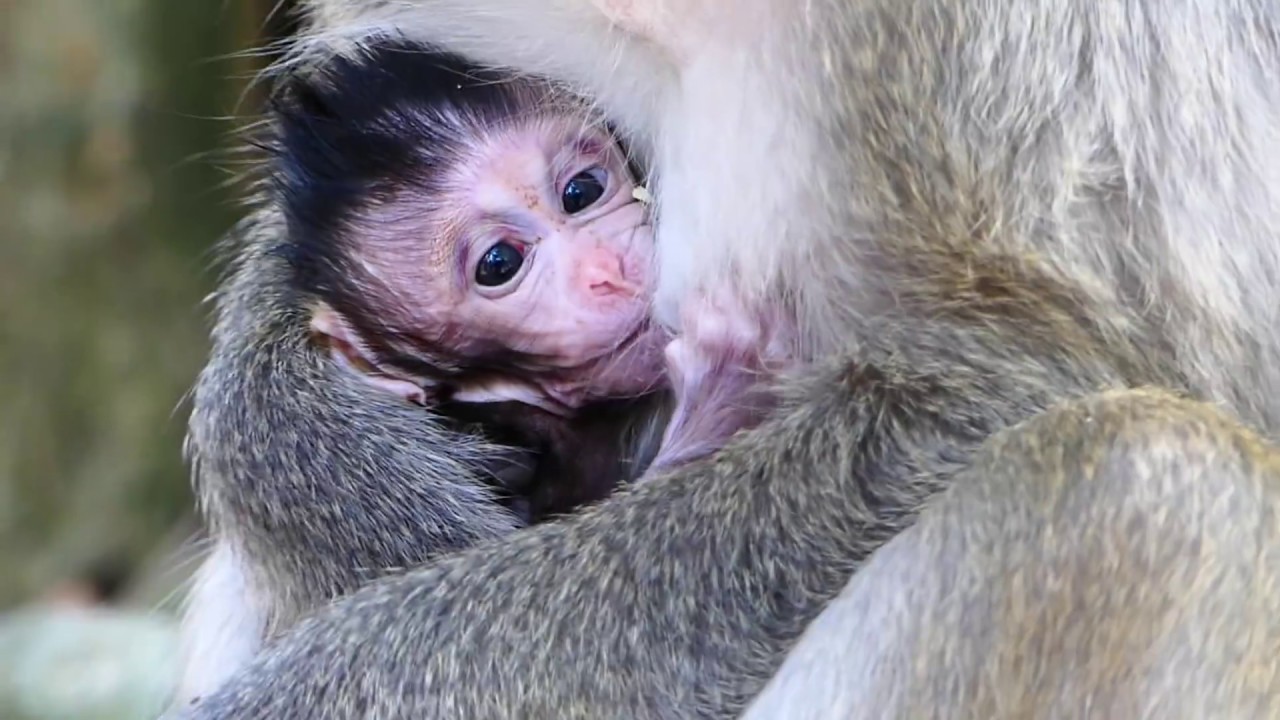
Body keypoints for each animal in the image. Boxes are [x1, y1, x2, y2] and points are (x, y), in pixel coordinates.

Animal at [171, 0, 1280, 717]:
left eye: (581, 192)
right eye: (496, 263)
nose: (612, 274)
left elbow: (1000, 381)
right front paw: (312, 449)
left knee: (1134, 482)